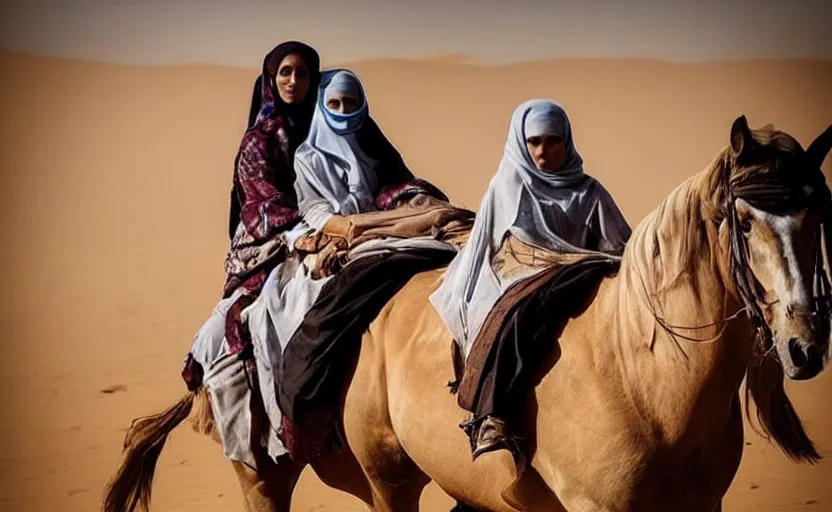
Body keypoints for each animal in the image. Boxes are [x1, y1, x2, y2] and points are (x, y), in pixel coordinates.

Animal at [104, 116, 832, 512]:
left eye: (819, 214)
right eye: (743, 219)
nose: (804, 346)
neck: (643, 380)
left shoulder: (703, 504)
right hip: (361, 477)